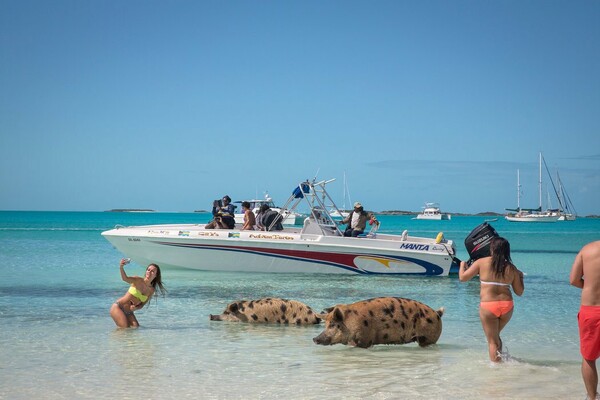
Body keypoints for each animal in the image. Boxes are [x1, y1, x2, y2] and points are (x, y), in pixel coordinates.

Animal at [314, 296, 446, 348]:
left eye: (332, 324)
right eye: (325, 325)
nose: (314, 339)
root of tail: (437, 313)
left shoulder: (364, 339)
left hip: (429, 337)